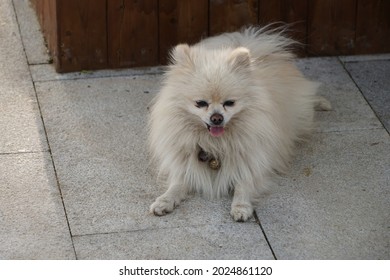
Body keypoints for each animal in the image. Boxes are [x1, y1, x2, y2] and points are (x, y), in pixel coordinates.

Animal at [148, 26, 330, 223]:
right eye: (200, 103)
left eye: (229, 103)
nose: (217, 118)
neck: (215, 143)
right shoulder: (184, 165)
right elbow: (177, 185)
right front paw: (164, 201)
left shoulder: (252, 161)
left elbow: (244, 185)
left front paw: (241, 207)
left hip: (301, 112)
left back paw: (322, 103)